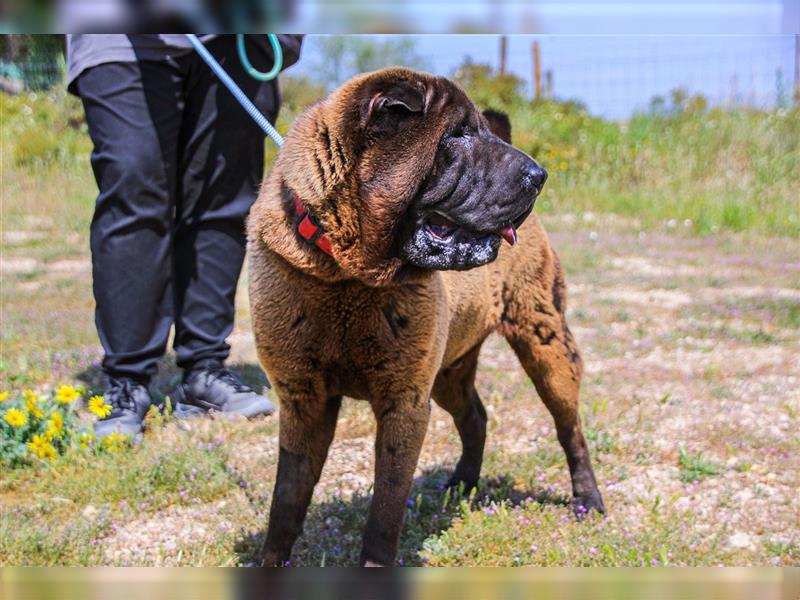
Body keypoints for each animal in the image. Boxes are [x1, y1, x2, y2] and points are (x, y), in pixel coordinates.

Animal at [247, 68, 604, 564]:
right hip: (449, 372)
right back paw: (462, 485)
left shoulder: (405, 404)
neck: (346, 275)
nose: (539, 175)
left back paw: (588, 500)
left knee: (570, 429)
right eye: (458, 135)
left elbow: (385, 510)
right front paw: (271, 563)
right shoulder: (304, 400)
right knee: (475, 417)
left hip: (547, 347)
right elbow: (286, 499)